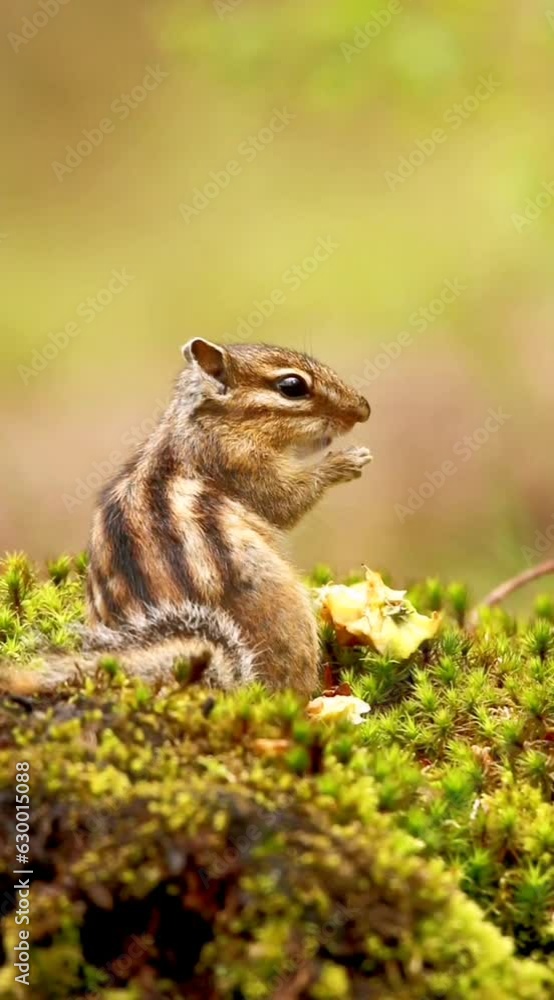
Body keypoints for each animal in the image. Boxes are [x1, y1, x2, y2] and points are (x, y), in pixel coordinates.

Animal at [4, 340, 371, 698]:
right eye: (292, 387)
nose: (364, 409)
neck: (206, 426)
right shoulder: (243, 467)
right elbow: (287, 502)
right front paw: (345, 462)